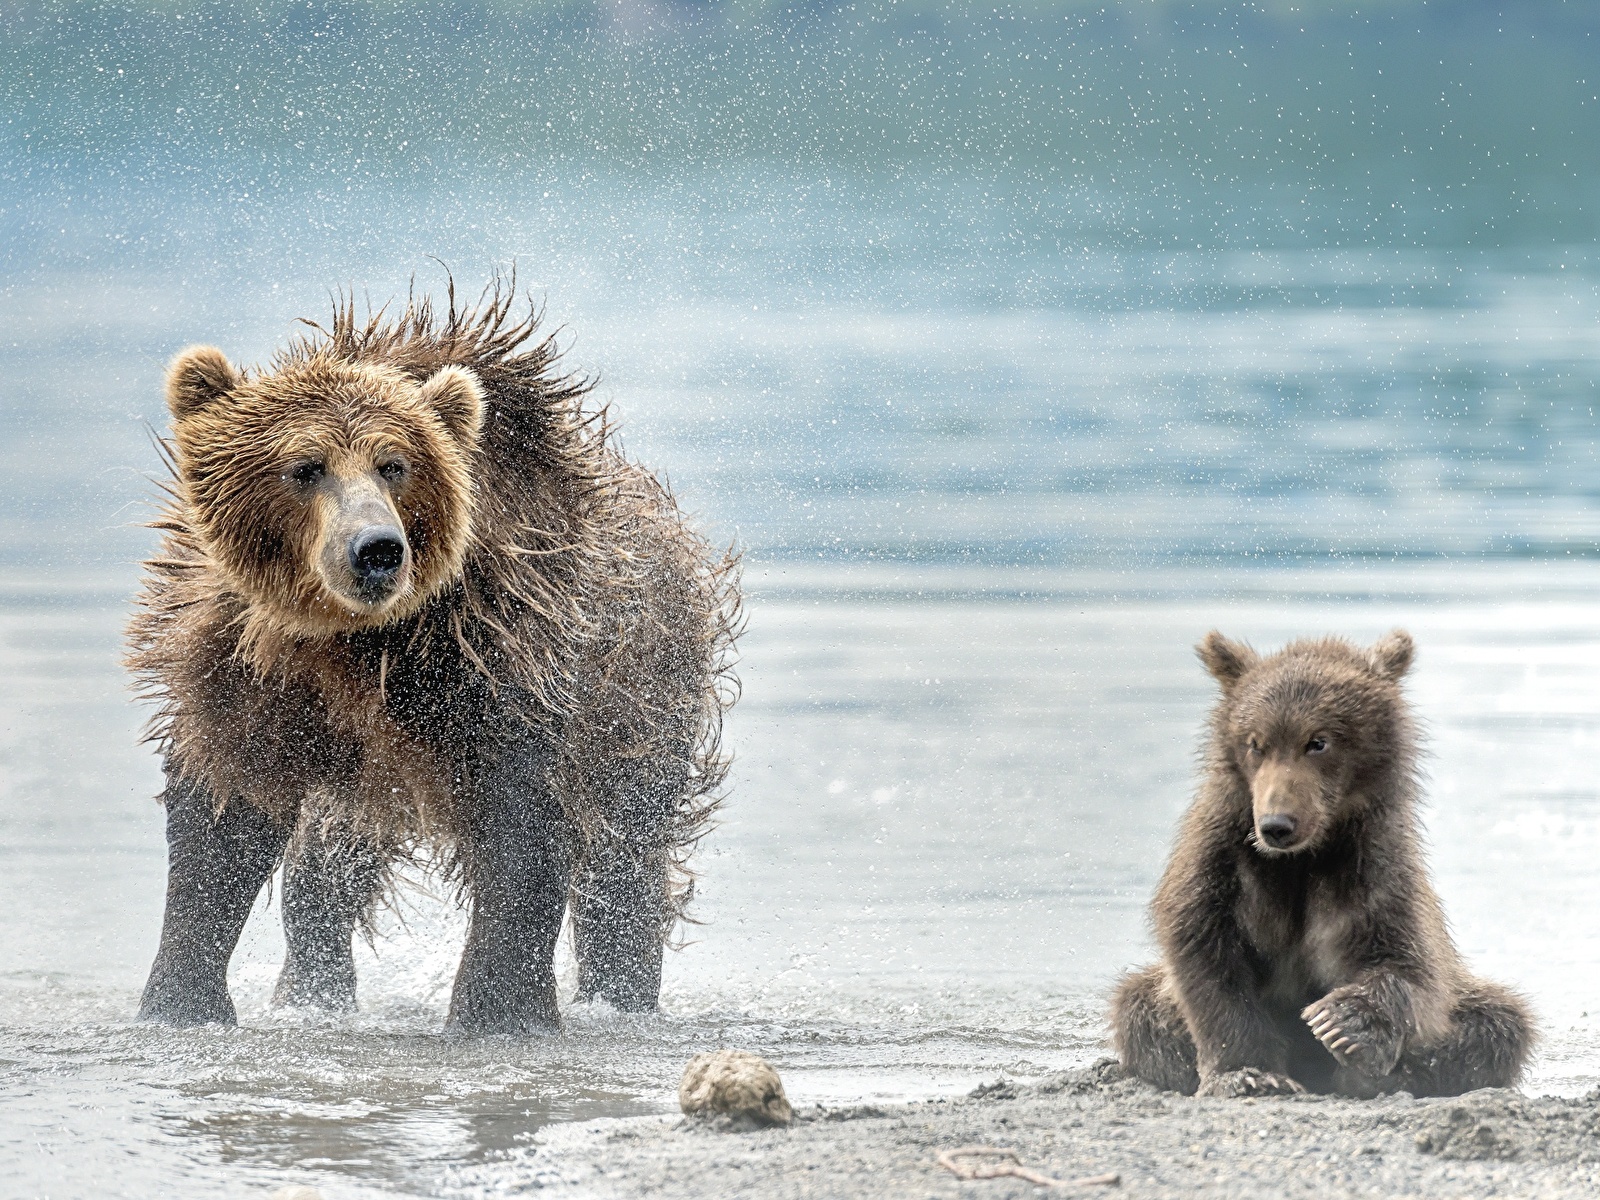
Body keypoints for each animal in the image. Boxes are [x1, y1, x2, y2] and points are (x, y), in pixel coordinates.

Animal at [128, 281, 739, 1036]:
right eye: (306, 468)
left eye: (395, 465)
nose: (376, 548)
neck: (355, 642)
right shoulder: (246, 671)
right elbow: (223, 817)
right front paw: (178, 1002)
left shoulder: (504, 660)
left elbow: (523, 833)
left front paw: (497, 1011)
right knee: (326, 869)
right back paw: (311, 993)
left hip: (641, 703)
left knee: (622, 861)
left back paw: (620, 992)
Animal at [1113, 630, 1536, 1100]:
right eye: (1255, 742)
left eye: (1318, 741)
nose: (1276, 824)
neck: (1301, 858)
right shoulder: (1222, 859)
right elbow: (1204, 952)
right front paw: (1248, 1074)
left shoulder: (1374, 866)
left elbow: (1412, 962)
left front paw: (1343, 1023)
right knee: (1136, 1008)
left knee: (1500, 1021)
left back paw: (1383, 1076)